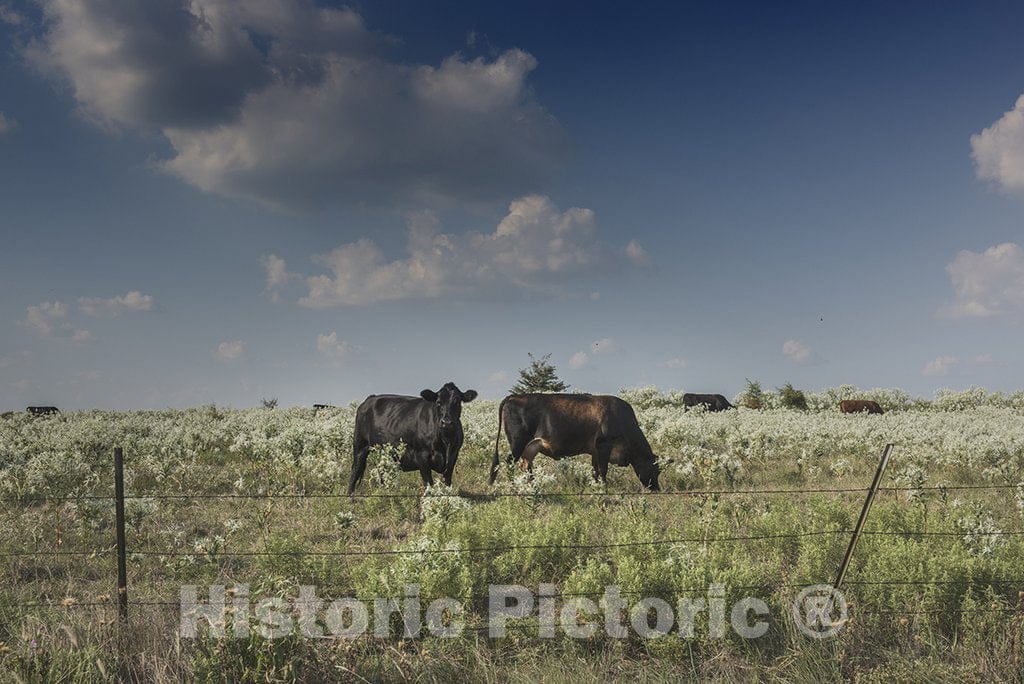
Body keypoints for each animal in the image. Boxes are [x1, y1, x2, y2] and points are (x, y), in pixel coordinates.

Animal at [489, 395, 663, 491]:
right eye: (656, 469)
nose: (656, 488)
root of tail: (514, 396)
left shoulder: (595, 451)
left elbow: (595, 471)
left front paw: (596, 486)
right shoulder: (604, 445)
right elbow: (603, 470)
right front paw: (604, 488)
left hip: (531, 446)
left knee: (526, 465)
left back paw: (532, 485)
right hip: (518, 443)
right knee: (509, 463)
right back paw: (514, 486)